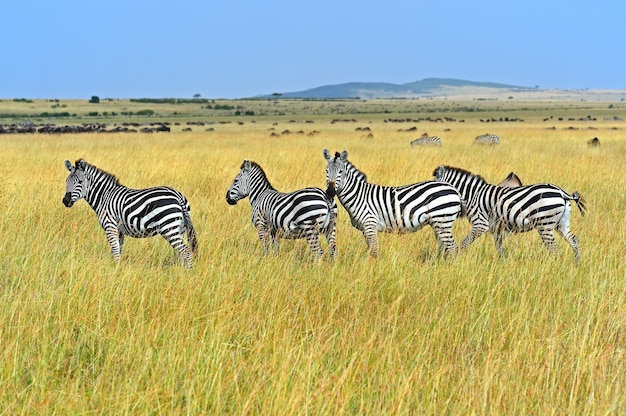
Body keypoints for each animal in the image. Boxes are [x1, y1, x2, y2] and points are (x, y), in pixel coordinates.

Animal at [61, 158, 195, 268]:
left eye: (80, 182)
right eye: (66, 181)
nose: (65, 201)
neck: (104, 196)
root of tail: (178, 195)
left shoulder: (110, 226)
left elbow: (115, 251)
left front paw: (114, 271)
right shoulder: (119, 231)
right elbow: (117, 251)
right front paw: (116, 268)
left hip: (169, 227)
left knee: (186, 252)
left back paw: (186, 275)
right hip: (180, 228)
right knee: (180, 253)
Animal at [324, 150, 460, 258]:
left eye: (341, 171)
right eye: (326, 171)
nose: (330, 191)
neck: (358, 195)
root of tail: (453, 188)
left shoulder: (370, 224)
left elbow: (374, 251)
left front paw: (373, 269)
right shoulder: (364, 229)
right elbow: (371, 249)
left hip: (443, 221)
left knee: (453, 248)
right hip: (438, 223)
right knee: (444, 247)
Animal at [432, 165, 584, 264]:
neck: (473, 195)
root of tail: (561, 192)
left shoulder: (480, 223)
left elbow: (464, 242)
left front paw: (456, 257)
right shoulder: (496, 228)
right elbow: (499, 247)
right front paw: (502, 264)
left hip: (544, 225)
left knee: (553, 248)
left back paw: (552, 266)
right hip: (561, 224)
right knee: (574, 240)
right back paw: (577, 264)